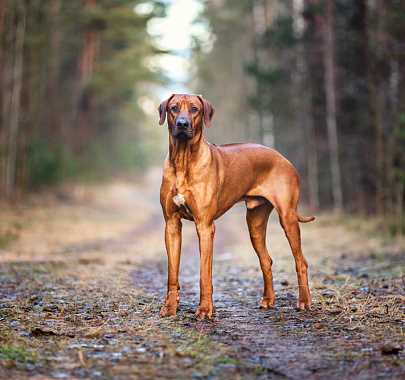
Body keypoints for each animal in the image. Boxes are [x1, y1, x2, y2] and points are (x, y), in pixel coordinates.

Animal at [157, 93, 312, 320]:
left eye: (194, 109)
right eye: (174, 108)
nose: (182, 124)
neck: (183, 160)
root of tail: (283, 158)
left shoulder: (205, 226)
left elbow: (204, 274)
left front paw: (205, 309)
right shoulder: (171, 225)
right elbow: (172, 273)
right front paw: (170, 307)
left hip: (288, 217)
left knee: (301, 261)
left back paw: (304, 301)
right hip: (255, 223)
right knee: (266, 260)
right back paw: (268, 300)